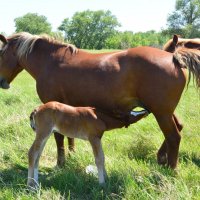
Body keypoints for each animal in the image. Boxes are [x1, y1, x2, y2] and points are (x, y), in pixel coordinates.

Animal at [0, 32, 200, 170]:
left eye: (1, 54)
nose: (2, 82)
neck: (50, 61)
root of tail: (174, 58)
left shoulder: (52, 106)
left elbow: (58, 136)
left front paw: (60, 163)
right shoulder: (68, 108)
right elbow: (69, 134)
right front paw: (72, 155)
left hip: (161, 113)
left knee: (174, 136)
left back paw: (172, 170)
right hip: (164, 112)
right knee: (176, 130)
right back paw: (162, 160)